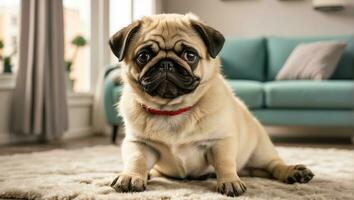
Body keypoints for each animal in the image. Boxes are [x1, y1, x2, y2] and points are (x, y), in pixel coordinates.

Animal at [109, 13, 314, 196]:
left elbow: (224, 163)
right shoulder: (139, 144)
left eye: (190, 55)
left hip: (260, 151)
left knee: (273, 165)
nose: (166, 64)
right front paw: (131, 177)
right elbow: (137, 160)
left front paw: (230, 182)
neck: (172, 110)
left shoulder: (220, 142)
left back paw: (293, 172)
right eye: (143, 56)